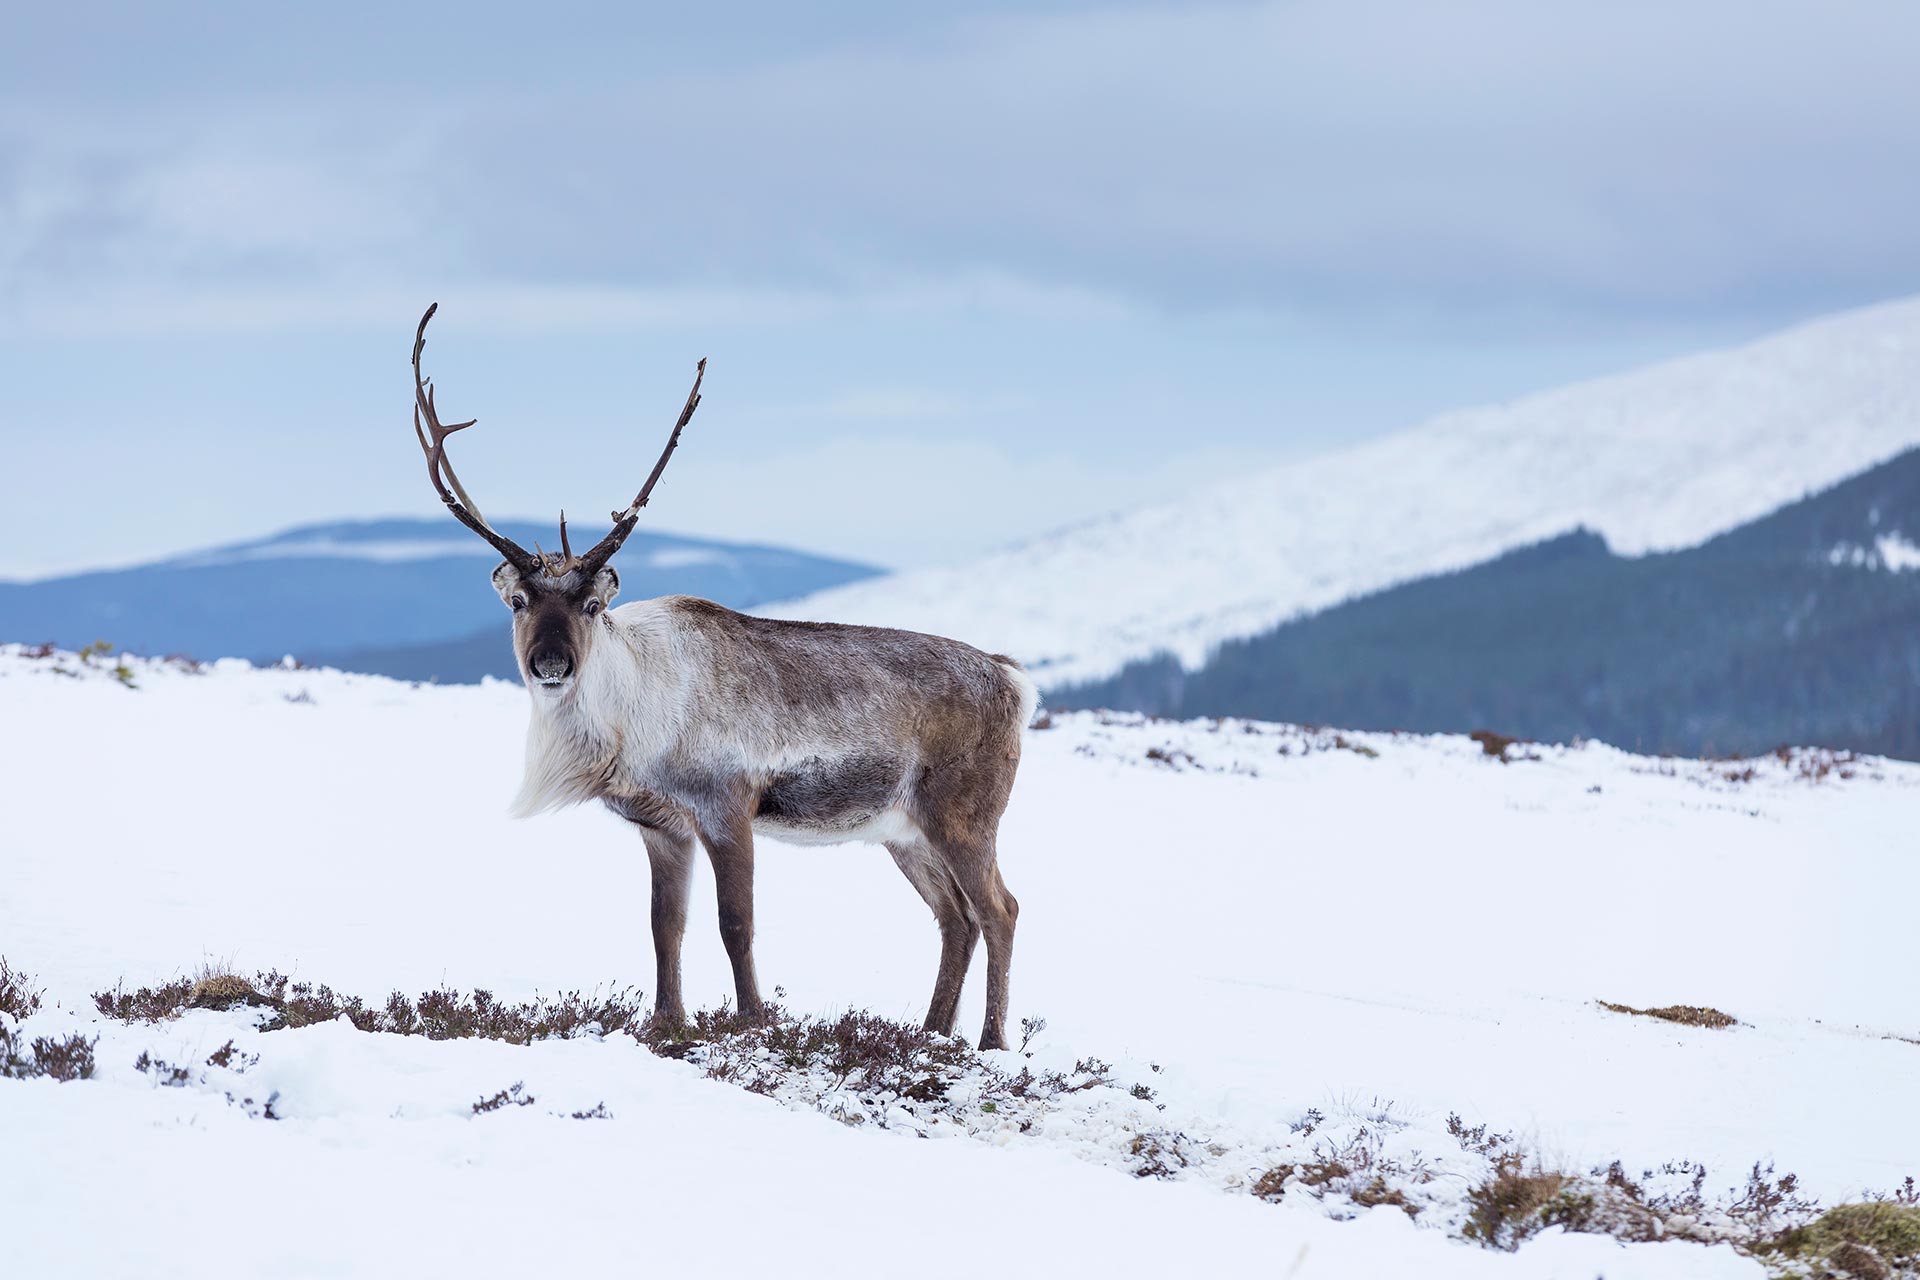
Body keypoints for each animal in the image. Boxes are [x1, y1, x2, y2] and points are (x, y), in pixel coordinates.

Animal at [408, 304, 1037, 1049]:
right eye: (519, 602)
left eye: (592, 605)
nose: (552, 663)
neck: (630, 729)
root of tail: (1014, 680)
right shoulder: (661, 826)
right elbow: (664, 927)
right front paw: (666, 1021)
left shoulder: (728, 805)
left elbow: (735, 924)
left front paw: (754, 1019)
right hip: (902, 830)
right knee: (954, 917)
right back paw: (927, 1035)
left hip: (965, 814)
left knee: (1000, 908)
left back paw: (990, 1041)